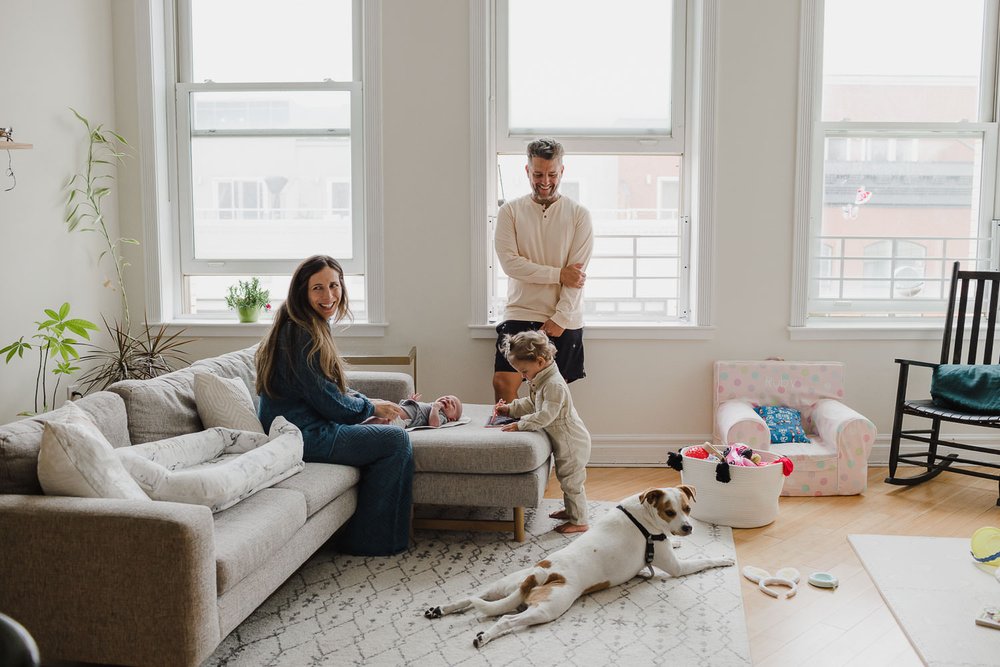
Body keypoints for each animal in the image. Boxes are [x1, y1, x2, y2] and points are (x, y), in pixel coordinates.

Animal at [422, 486, 736, 648]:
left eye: (688, 508)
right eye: (670, 511)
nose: (688, 527)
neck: (642, 514)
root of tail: (542, 573)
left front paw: (681, 541)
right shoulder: (675, 566)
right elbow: (704, 560)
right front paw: (725, 558)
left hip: (504, 584)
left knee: (471, 599)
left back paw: (439, 609)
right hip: (548, 609)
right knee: (506, 620)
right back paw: (484, 636)